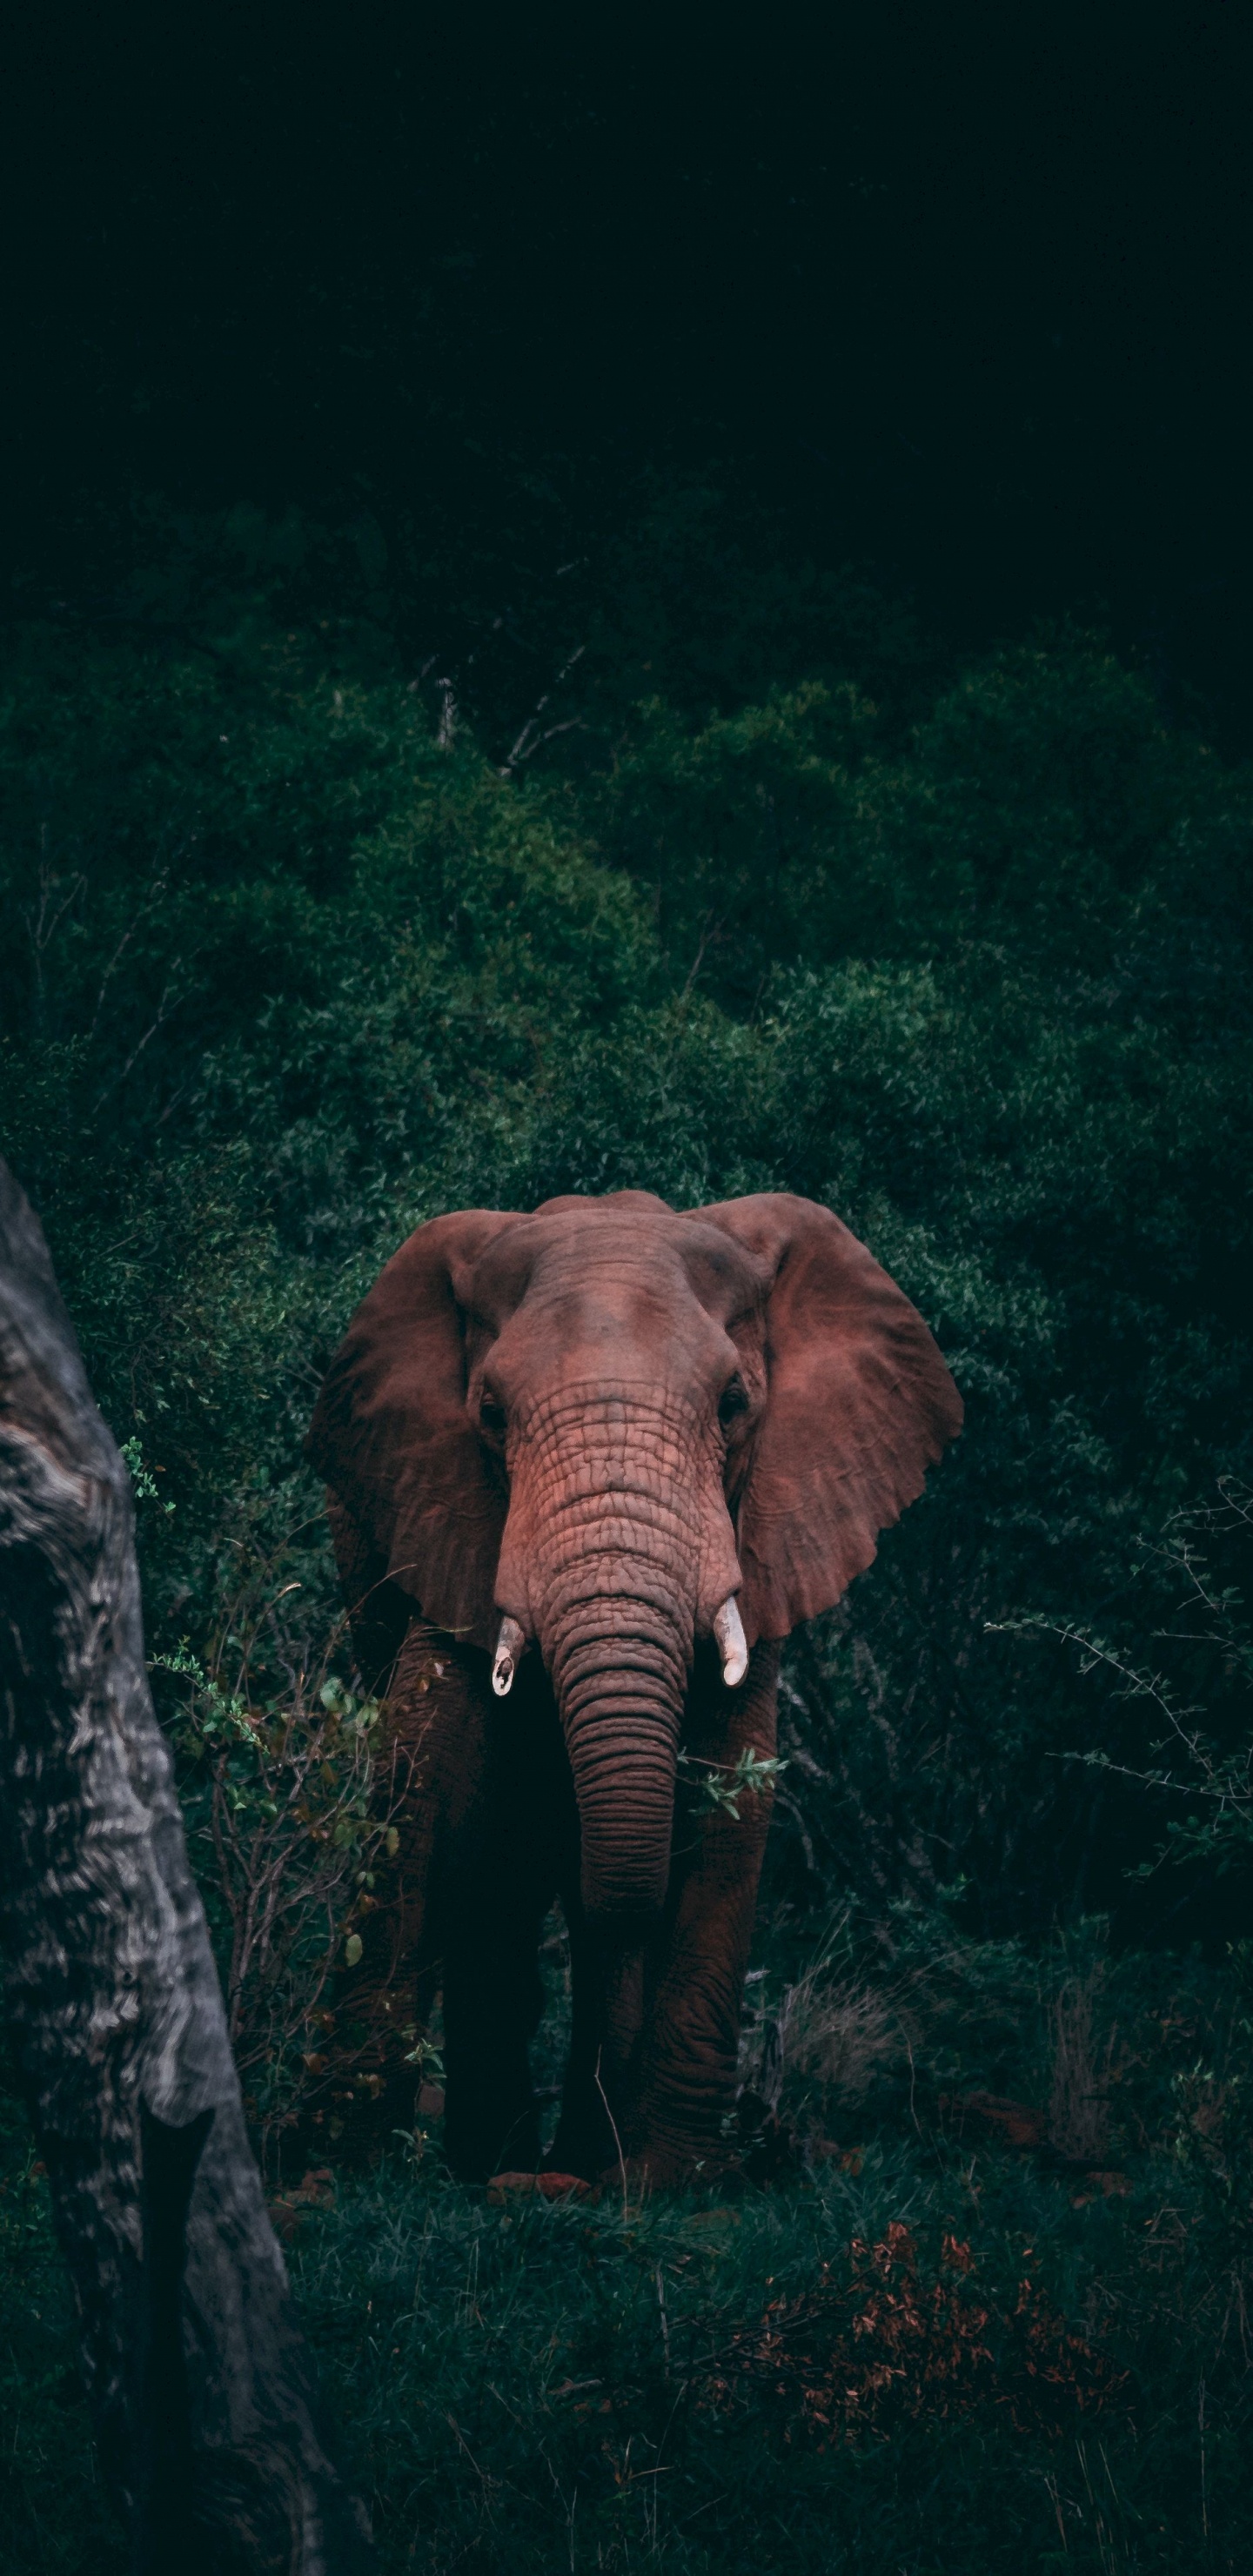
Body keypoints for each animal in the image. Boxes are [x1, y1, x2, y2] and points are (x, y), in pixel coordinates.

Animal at [306, 1188, 961, 2185]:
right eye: (489, 1411)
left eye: (733, 1404)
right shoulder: (442, 1514)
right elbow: (427, 1783)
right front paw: (338, 2158)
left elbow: (733, 1797)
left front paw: (673, 2178)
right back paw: (504, 2155)